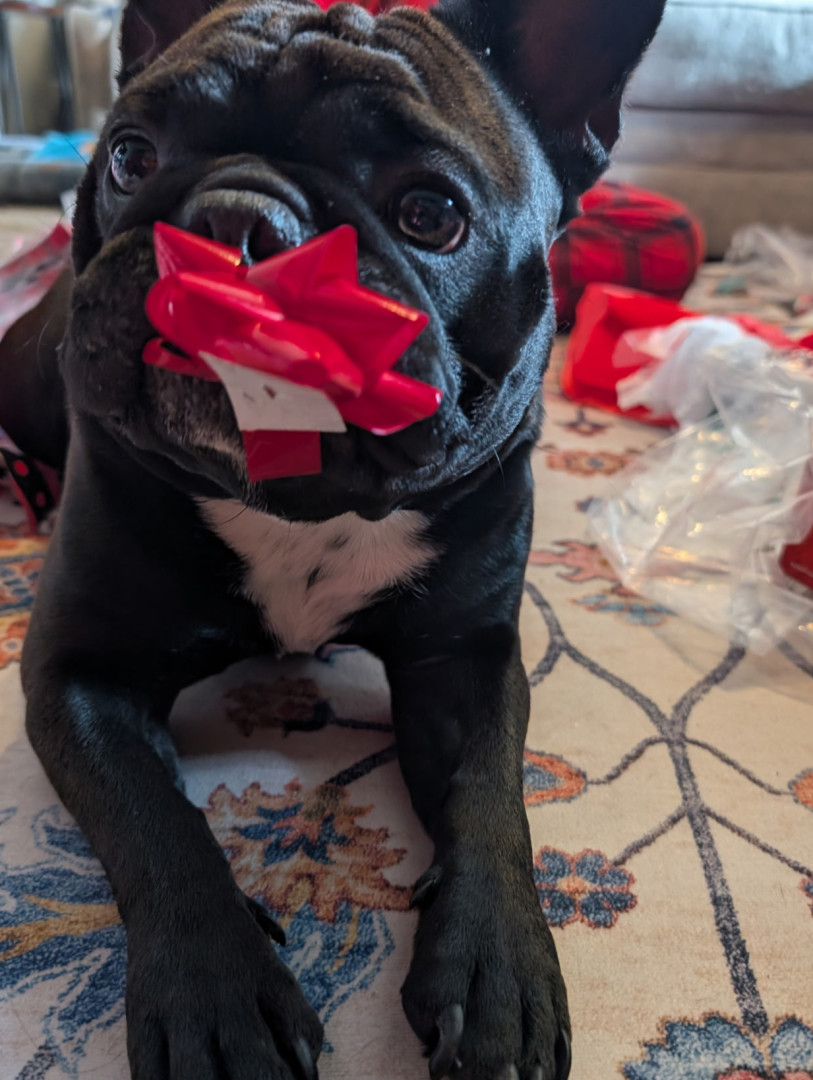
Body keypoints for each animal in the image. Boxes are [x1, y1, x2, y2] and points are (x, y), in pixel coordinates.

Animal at [0, 1, 666, 1076]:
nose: (237, 220)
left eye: (430, 213)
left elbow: (492, 793)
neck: (296, 502)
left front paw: (500, 968)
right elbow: (153, 818)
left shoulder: (467, 658)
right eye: (132, 156)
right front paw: (215, 996)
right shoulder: (77, 676)